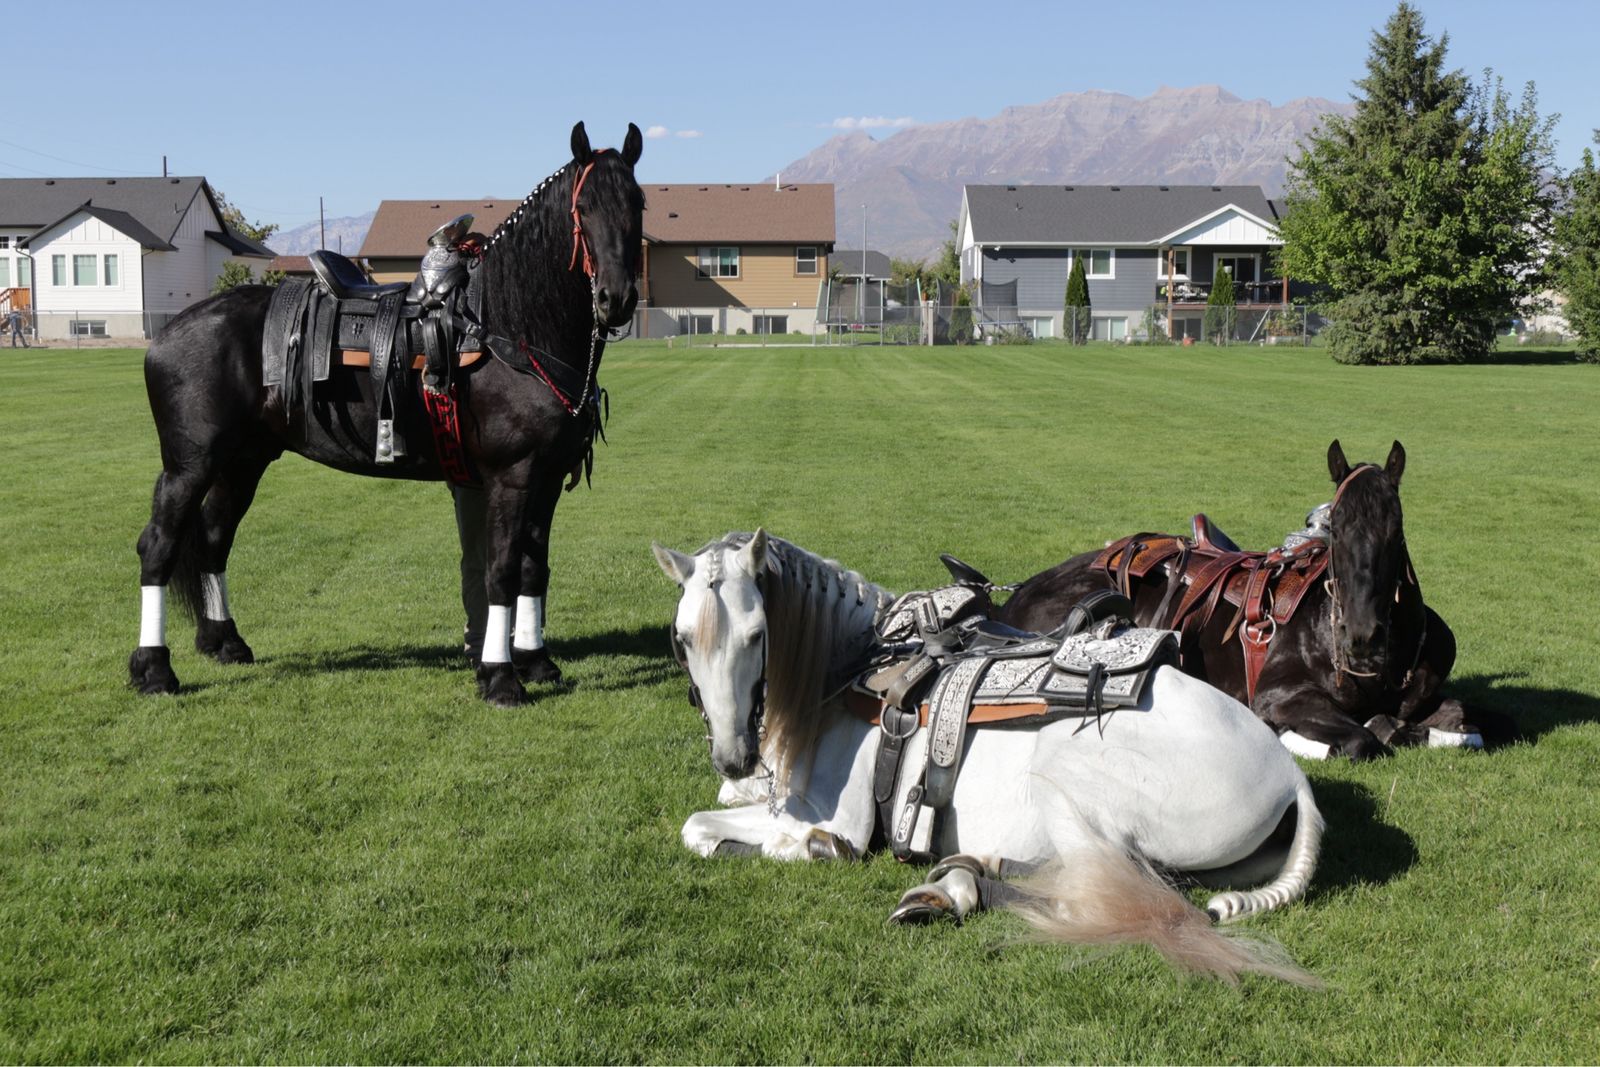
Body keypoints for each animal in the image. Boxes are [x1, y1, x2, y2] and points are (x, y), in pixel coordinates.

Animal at [129, 122, 645, 707]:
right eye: (584, 207)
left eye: (638, 203)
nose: (615, 298)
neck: (506, 329)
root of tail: (168, 332)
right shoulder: (511, 478)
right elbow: (502, 572)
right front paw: (500, 676)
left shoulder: (548, 478)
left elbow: (535, 570)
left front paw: (536, 661)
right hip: (189, 466)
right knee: (159, 547)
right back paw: (154, 669)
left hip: (242, 462)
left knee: (215, 539)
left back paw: (225, 642)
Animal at [652, 530, 1325, 983]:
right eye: (680, 639)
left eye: (757, 635)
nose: (733, 755)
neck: (846, 668)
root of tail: (1293, 776)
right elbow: (717, 808)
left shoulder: (835, 812)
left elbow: (702, 827)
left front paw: (813, 846)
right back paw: (966, 870)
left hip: (1062, 781)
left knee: (1097, 894)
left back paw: (953, 890)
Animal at [997, 440, 1512, 760]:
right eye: (1337, 527)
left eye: (1396, 528)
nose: (1363, 635)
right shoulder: (1280, 696)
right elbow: (1365, 738)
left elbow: (1467, 718)